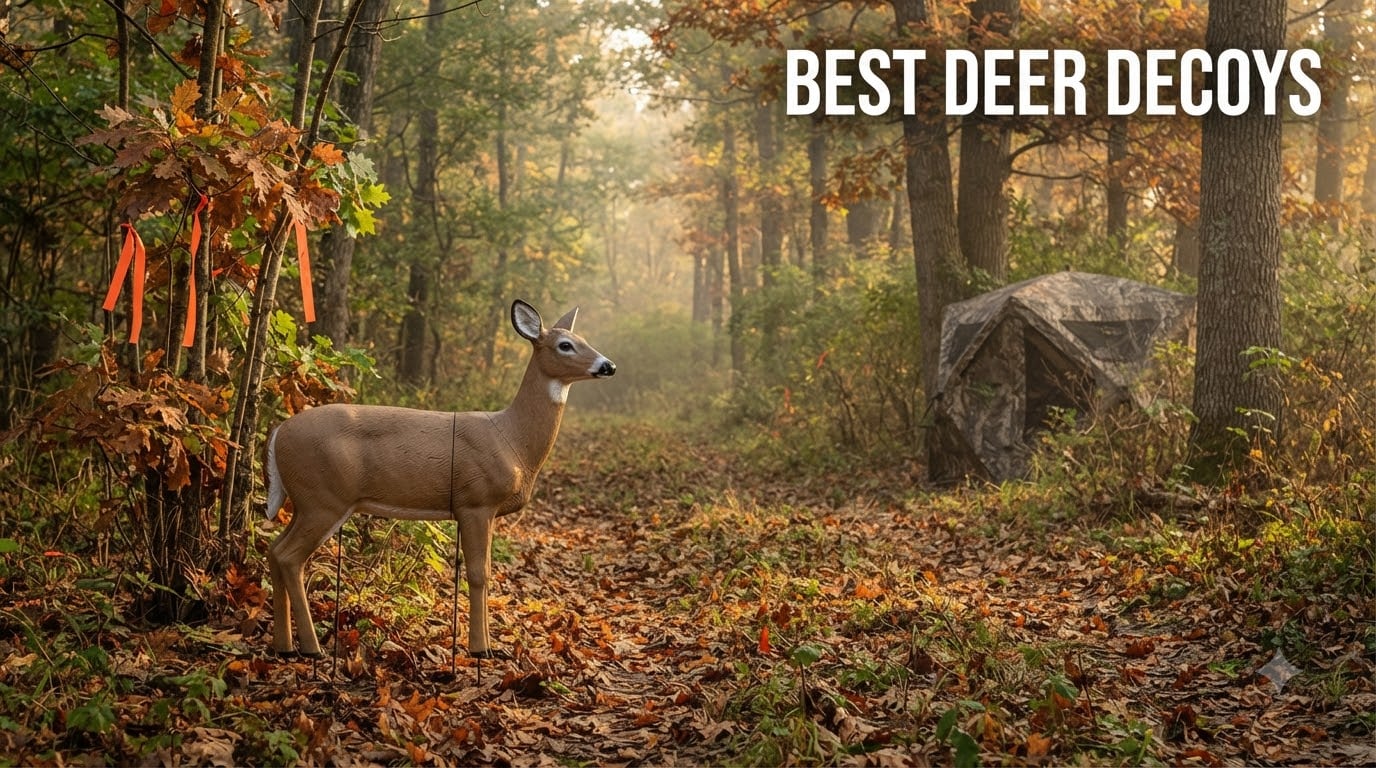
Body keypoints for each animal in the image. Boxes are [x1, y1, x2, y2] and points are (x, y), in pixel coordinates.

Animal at [264, 299, 616, 658]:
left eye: (583, 339)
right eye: (565, 345)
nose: (608, 366)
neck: (513, 440)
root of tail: (277, 433)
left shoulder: (487, 510)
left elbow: (487, 571)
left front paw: (490, 646)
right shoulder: (475, 501)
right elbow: (477, 574)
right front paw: (479, 649)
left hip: (306, 501)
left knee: (273, 550)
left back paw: (284, 646)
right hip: (324, 498)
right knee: (289, 557)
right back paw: (311, 648)